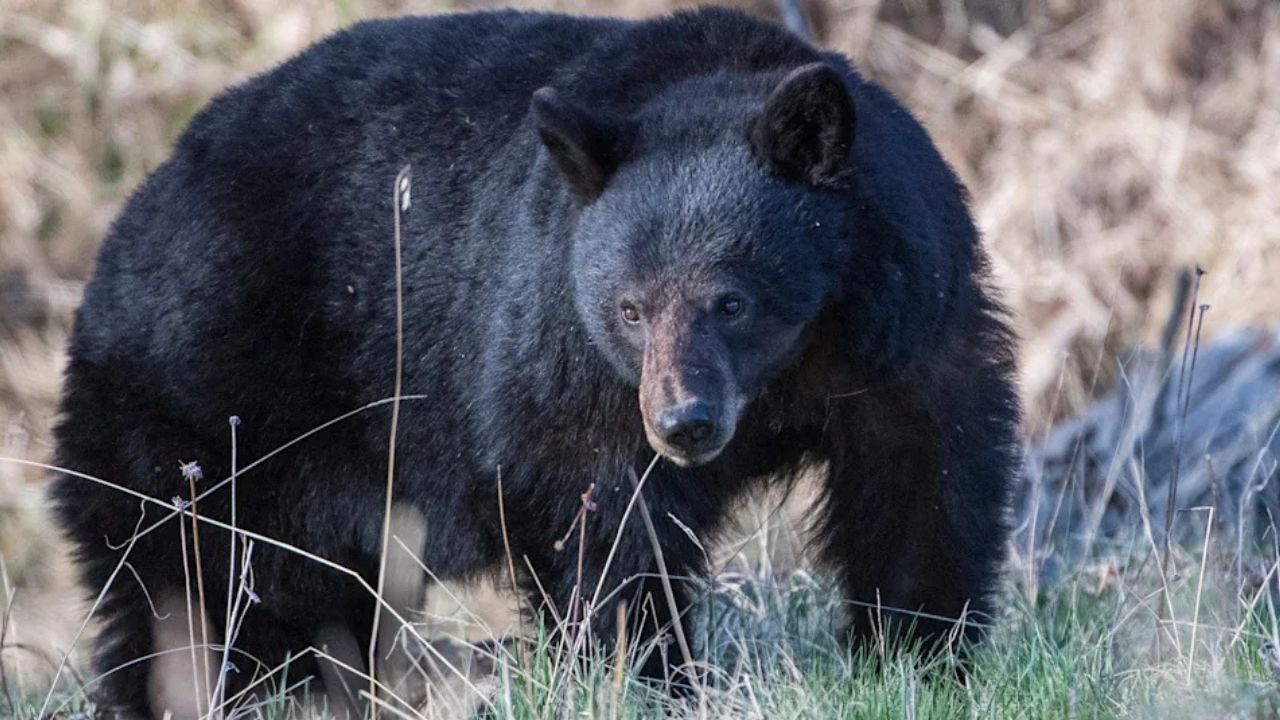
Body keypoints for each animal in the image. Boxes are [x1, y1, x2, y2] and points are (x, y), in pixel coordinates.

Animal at [50, 6, 1020, 717]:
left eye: (730, 300)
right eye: (629, 308)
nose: (685, 425)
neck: (793, 367)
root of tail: (129, 224)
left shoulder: (908, 327)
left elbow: (922, 484)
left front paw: (920, 656)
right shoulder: (567, 358)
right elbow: (610, 524)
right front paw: (645, 675)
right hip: (204, 413)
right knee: (190, 586)